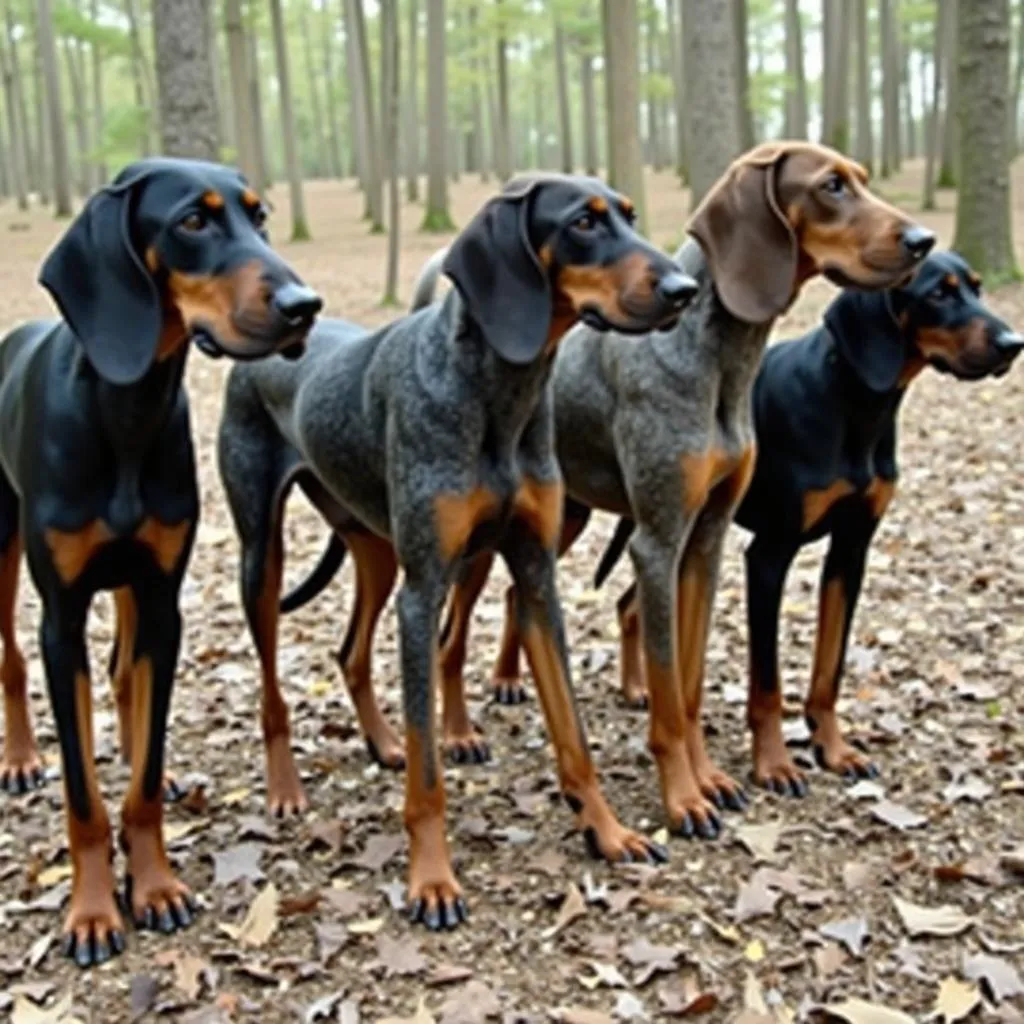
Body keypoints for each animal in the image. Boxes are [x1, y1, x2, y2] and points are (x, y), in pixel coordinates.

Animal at [0, 159, 319, 966]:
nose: (304, 306)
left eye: (259, 217)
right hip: (3, 550)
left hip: (132, 591)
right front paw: (90, 911)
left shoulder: (161, 597)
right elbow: (82, 792)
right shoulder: (62, 619)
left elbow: (139, 777)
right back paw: (20, 758)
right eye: (192, 222)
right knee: (12, 658)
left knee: (125, 679)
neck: (126, 410)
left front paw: (153, 886)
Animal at [395, 142, 937, 839]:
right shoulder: (658, 543)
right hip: (477, 545)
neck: (716, 362)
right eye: (831, 186)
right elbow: (670, 699)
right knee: (449, 638)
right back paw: (461, 733)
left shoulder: (706, 539)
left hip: (563, 519)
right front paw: (682, 798)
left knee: (519, 597)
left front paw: (709, 779)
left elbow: (690, 681)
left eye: (863, 179)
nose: (923, 240)